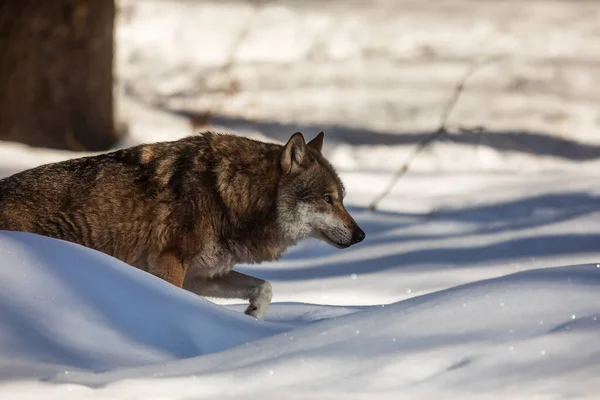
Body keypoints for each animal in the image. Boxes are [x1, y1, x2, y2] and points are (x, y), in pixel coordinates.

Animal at [0, 131, 366, 318]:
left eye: (342, 198)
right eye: (328, 199)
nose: (361, 235)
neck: (227, 194)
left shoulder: (201, 275)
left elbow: (265, 288)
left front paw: (252, 317)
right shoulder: (170, 263)